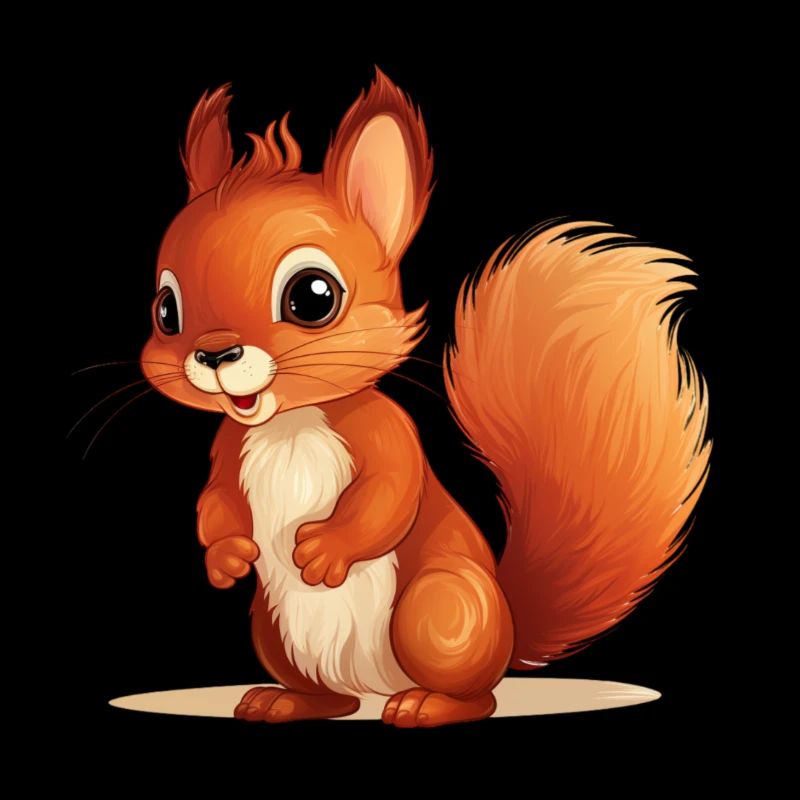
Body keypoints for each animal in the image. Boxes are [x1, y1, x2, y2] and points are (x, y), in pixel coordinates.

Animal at [140, 69, 710, 727]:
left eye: (312, 296)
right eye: (166, 309)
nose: (215, 355)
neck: (291, 422)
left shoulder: (388, 433)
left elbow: (391, 494)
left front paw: (326, 550)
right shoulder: (228, 448)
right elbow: (215, 502)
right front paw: (226, 557)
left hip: (440, 610)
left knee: (479, 696)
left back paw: (426, 707)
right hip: (272, 629)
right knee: (331, 698)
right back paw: (283, 701)